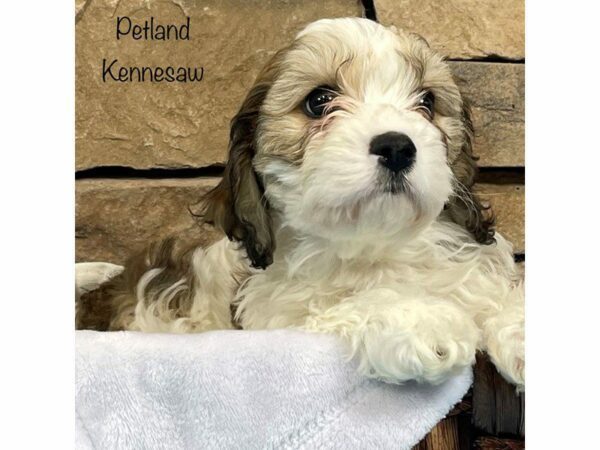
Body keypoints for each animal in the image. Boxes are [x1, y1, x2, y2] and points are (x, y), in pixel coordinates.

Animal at [77, 17, 524, 388]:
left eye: (428, 102)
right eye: (319, 101)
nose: (397, 146)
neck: (376, 249)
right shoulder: (278, 321)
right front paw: (418, 320)